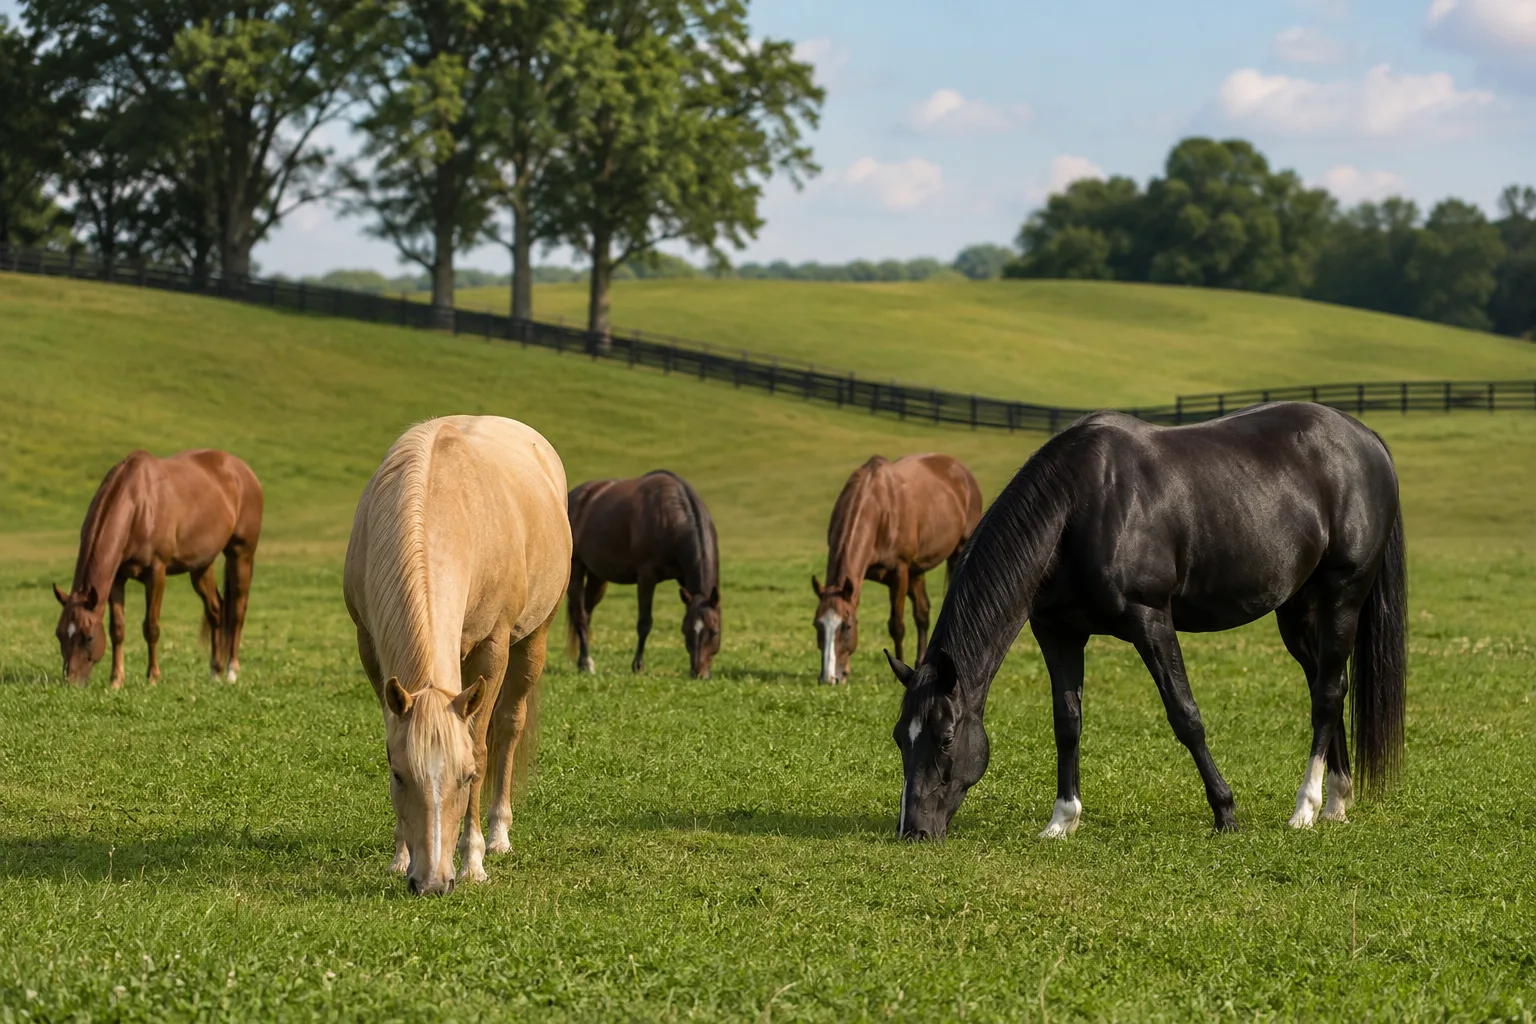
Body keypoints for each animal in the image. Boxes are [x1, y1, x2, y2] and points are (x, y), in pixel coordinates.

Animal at [53, 449, 263, 687]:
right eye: (59, 634)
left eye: (88, 636)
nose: (70, 681)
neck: (138, 506)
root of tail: (244, 470)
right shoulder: (117, 578)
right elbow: (118, 629)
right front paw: (116, 680)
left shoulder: (156, 573)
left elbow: (151, 627)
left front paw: (153, 677)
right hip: (201, 565)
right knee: (215, 609)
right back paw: (215, 672)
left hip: (241, 554)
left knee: (237, 610)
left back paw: (231, 671)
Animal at [343, 416, 571, 896]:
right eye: (398, 775)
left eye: (465, 778)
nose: (432, 882)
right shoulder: (369, 647)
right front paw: (400, 856)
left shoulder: (492, 647)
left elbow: (482, 747)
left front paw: (474, 862)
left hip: (532, 641)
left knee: (509, 727)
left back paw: (500, 833)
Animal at [566, 470, 721, 678]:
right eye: (685, 630)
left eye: (714, 632)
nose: (698, 673)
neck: (670, 520)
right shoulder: (647, 577)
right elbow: (645, 623)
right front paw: (638, 665)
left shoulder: (683, 578)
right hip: (576, 568)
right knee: (580, 616)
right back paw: (586, 663)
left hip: (597, 577)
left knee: (587, 612)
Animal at [813, 454, 982, 684]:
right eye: (817, 625)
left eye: (846, 626)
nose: (828, 678)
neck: (878, 508)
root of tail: (961, 470)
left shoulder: (899, 573)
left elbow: (897, 625)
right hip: (917, 571)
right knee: (922, 613)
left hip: (956, 553)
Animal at [885, 403, 1407, 841]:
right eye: (899, 737)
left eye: (945, 737)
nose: (914, 831)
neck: (1080, 506)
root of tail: (1365, 439)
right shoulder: (1058, 632)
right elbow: (1066, 722)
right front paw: (1062, 820)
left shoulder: (1150, 620)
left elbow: (1185, 715)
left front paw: (1225, 811)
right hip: (1297, 609)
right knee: (1327, 685)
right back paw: (1336, 801)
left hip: (1343, 595)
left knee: (1327, 694)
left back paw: (1306, 807)